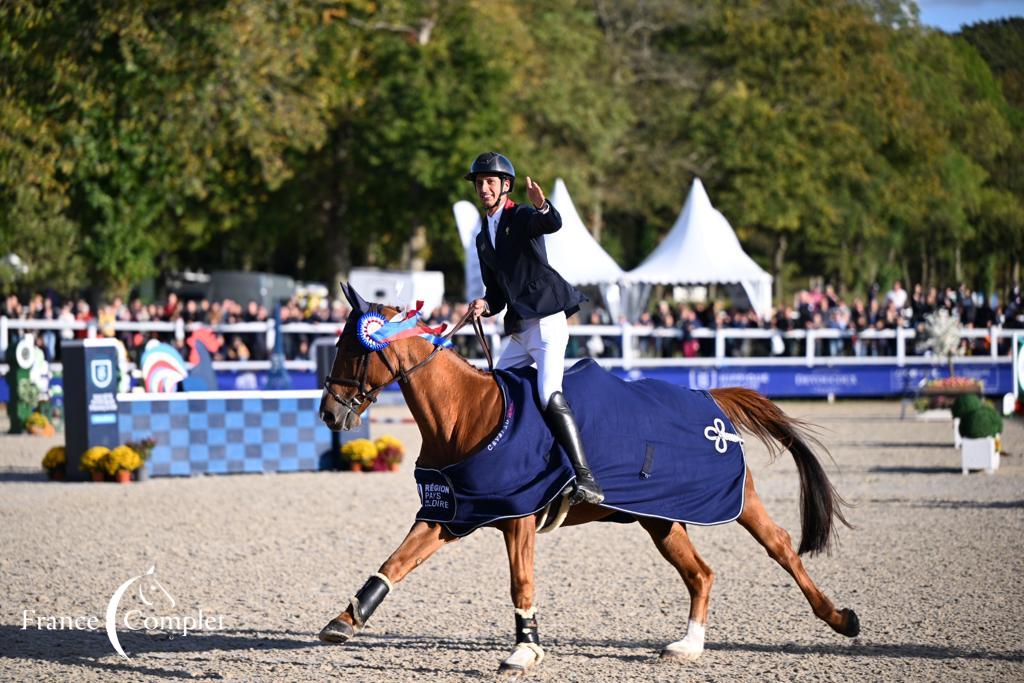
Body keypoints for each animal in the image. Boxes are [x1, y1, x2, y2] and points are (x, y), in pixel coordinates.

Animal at [315, 284, 860, 671]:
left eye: (352, 350)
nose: (328, 413)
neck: (464, 415)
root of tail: (709, 398)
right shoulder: (450, 514)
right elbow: (395, 562)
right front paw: (344, 621)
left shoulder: (518, 517)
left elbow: (521, 582)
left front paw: (525, 651)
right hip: (661, 519)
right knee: (701, 574)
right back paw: (688, 645)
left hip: (733, 500)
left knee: (780, 545)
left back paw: (840, 619)